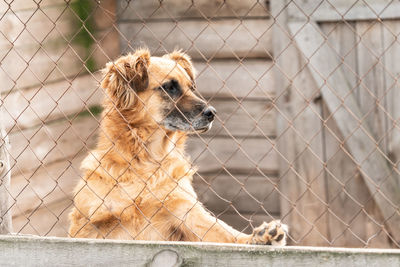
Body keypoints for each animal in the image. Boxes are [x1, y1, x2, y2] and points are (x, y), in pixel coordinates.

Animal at [69, 49, 288, 246]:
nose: (212, 113)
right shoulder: (88, 226)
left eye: (191, 87)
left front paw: (260, 237)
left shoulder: (185, 212)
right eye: (170, 87)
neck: (146, 162)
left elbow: (227, 234)